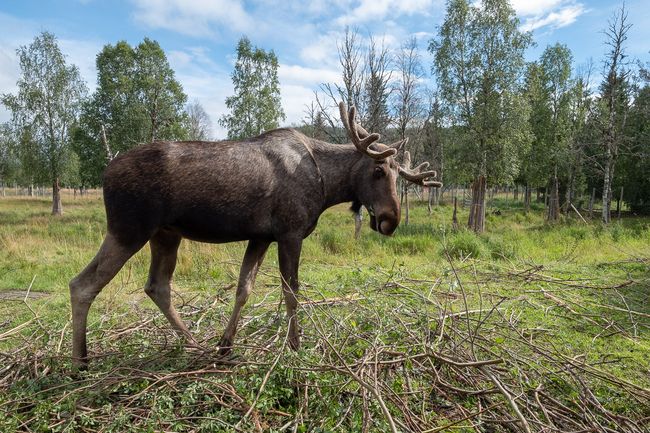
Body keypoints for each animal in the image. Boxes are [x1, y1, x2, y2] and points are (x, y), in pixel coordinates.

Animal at [69, 103, 440, 366]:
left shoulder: (261, 236)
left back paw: (195, 344)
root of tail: (105, 172)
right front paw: (295, 346)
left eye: (399, 175)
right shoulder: (290, 232)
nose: (391, 220)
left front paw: (225, 345)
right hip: (129, 229)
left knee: (157, 286)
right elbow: (291, 291)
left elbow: (243, 289)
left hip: (165, 235)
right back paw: (79, 363)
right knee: (82, 284)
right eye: (378, 170)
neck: (326, 185)